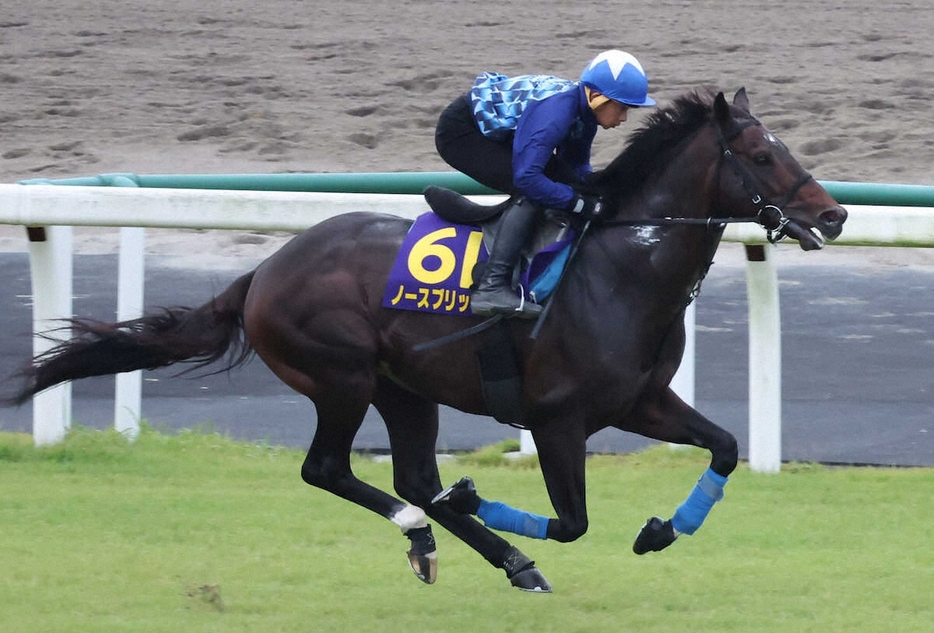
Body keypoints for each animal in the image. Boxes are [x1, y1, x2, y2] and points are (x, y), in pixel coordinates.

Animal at [3, 89, 848, 592]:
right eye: (764, 155)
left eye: (789, 148)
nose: (835, 214)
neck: (620, 265)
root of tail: (265, 269)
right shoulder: (557, 417)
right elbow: (572, 520)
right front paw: (486, 498)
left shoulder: (639, 399)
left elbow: (726, 445)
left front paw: (661, 530)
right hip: (341, 375)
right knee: (332, 470)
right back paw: (439, 530)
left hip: (403, 387)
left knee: (410, 474)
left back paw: (485, 549)